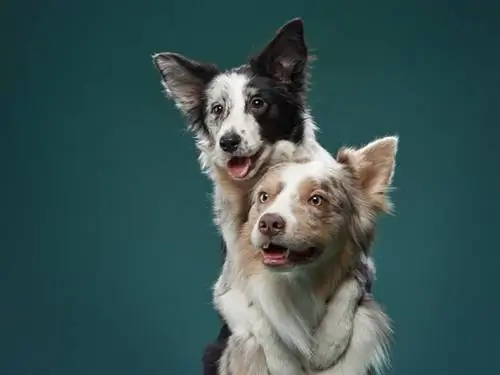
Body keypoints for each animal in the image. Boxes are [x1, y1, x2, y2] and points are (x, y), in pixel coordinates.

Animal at [152, 18, 378, 375]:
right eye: (218, 109)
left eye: (258, 103)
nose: (228, 142)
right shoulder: (229, 286)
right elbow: (260, 316)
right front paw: (285, 360)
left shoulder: (361, 260)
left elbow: (351, 284)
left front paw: (330, 345)